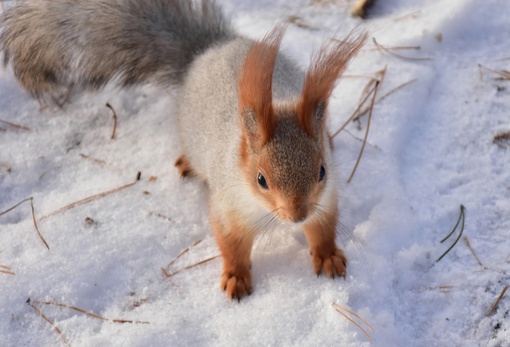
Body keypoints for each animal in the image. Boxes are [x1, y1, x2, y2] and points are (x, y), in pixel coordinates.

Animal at [0, 0, 366, 302]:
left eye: (321, 171)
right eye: (261, 179)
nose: (297, 216)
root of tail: (209, 49)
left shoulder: (325, 198)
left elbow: (323, 228)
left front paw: (328, 255)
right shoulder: (228, 206)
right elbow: (231, 243)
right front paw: (235, 277)